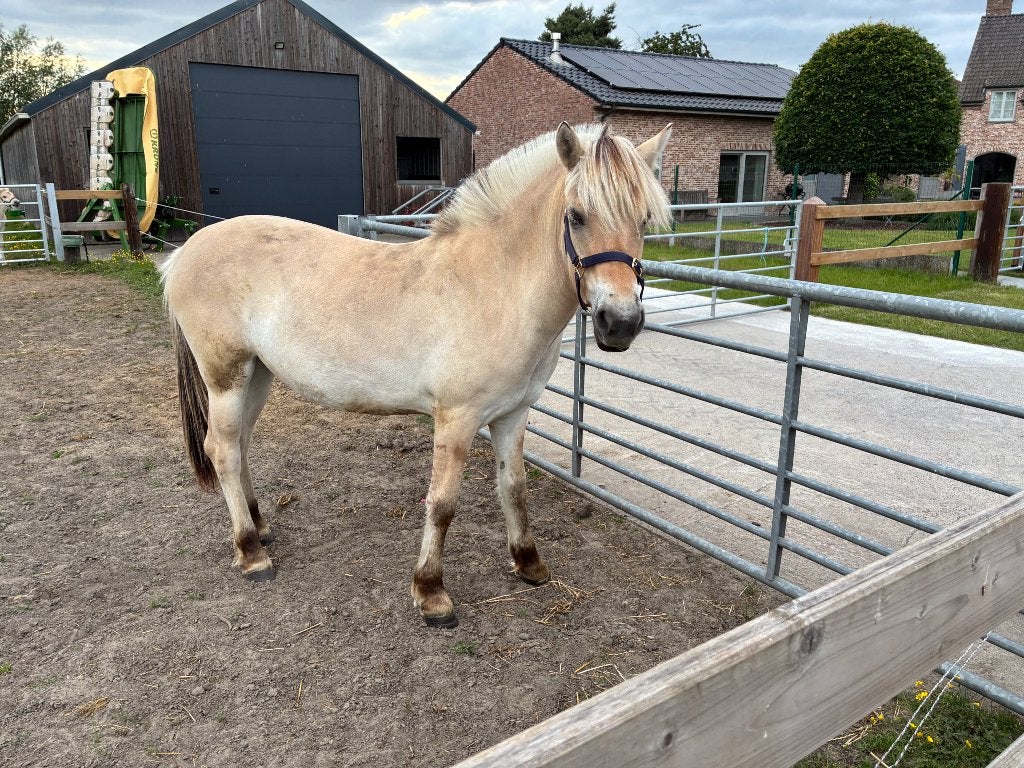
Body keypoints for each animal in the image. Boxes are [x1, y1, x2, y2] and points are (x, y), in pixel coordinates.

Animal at [161, 122, 671, 628]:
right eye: (576, 215)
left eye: (644, 219)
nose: (620, 323)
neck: (494, 287)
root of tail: (183, 254)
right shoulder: (457, 419)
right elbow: (442, 504)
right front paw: (431, 593)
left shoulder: (513, 414)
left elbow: (515, 488)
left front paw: (529, 564)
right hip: (226, 377)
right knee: (222, 450)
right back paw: (251, 554)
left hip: (258, 374)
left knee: (240, 446)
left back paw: (259, 526)